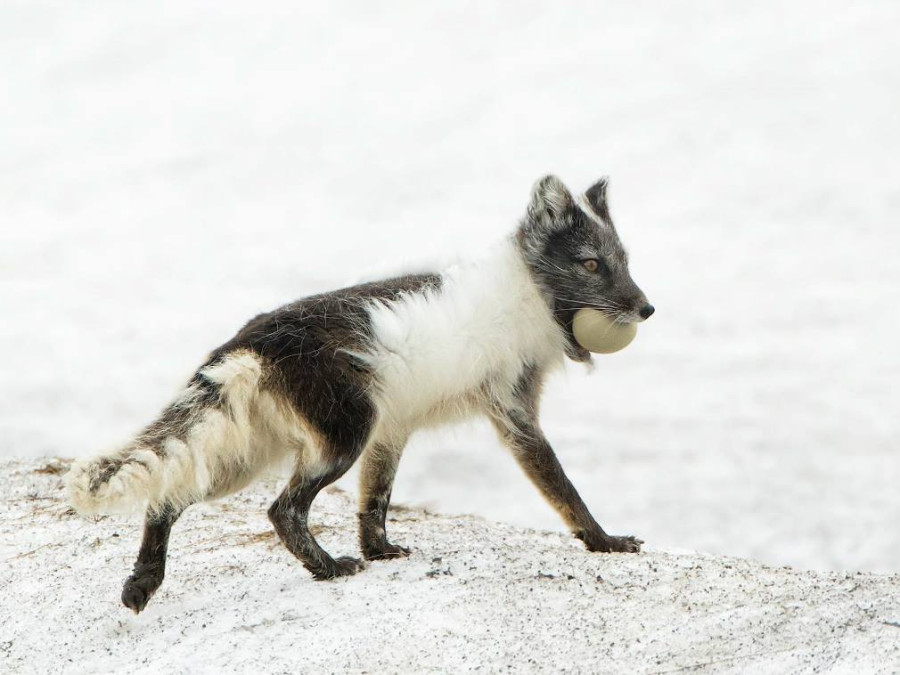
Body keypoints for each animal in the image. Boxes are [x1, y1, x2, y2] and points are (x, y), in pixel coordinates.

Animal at [67, 174, 655, 613]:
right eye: (591, 264)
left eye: (625, 260)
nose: (647, 308)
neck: (530, 293)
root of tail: (250, 341)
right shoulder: (513, 414)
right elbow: (565, 490)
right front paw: (605, 541)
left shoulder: (392, 431)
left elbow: (375, 501)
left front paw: (381, 552)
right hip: (338, 437)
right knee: (282, 511)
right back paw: (327, 569)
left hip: (249, 455)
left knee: (169, 495)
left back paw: (142, 584)